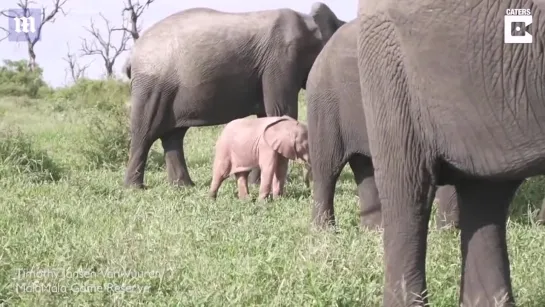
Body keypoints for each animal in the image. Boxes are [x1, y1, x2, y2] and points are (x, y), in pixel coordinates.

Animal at [124, 3, 344, 189]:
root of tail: (132, 54)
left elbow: (266, 117)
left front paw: (256, 183)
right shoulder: (282, 58)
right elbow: (281, 111)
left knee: (173, 135)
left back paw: (183, 186)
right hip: (152, 86)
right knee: (145, 132)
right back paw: (135, 188)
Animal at [306, 19, 460, 231]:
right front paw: (447, 232)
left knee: (364, 166)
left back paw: (373, 229)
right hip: (326, 102)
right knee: (327, 167)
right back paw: (324, 230)